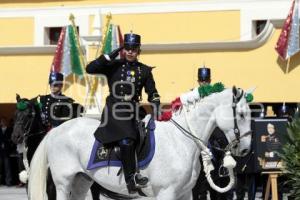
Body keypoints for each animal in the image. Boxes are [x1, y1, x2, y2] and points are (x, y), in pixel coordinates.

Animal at [28, 86, 253, 200]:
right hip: (63, 182)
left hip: (82, 180)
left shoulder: (185, 193)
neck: (181, 140)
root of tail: (57, 130)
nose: (245, 149)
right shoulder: (166, 193)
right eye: (241, 114)